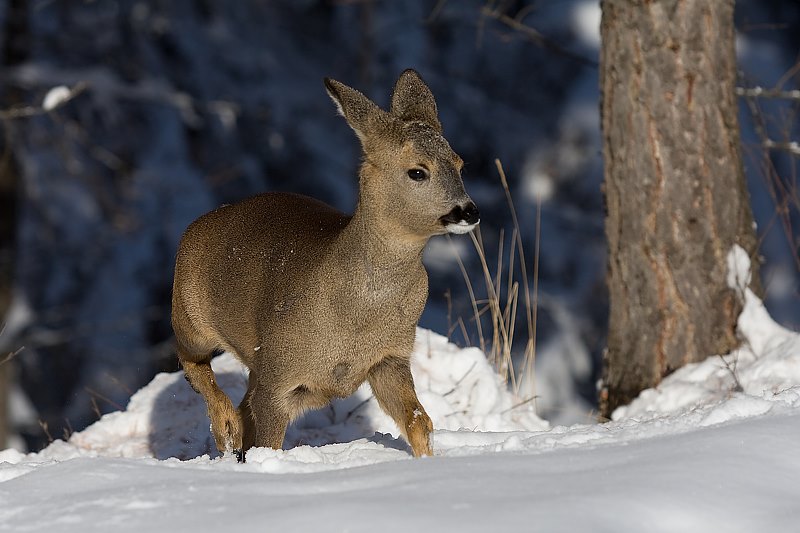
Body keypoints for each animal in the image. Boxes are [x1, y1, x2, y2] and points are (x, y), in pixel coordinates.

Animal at [172, 69, 478, 462]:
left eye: (459, 164)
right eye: (417, 172)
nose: (468, 211)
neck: (356, 310)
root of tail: (198, 224)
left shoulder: (390, 357)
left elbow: (419, 420)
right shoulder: (279, 375)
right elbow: (268, 442)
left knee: (242, 405)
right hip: (190, 317)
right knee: (193, 364)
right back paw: (224, 428)